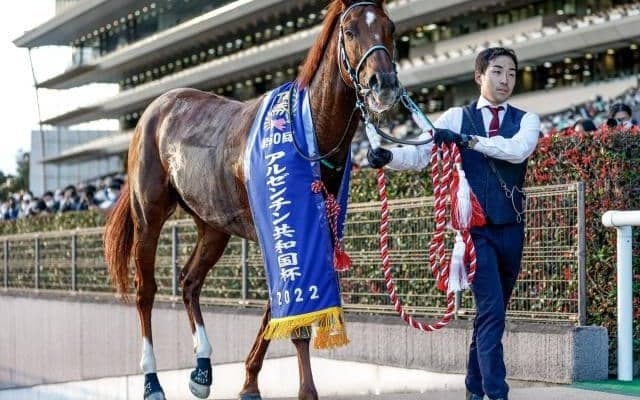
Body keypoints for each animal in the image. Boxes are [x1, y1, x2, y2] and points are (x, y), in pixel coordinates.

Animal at [103, 1, 399, 399]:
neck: (308, 134)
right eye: (350, 31)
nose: (384, 84)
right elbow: (292, 317)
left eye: (390, 27)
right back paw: (151, 381)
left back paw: (202, 369)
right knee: (145, 291)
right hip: (148, 214)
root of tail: (156, 107)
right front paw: (305, 391)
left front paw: (249, 381)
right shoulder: (281, 225)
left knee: (189, 281)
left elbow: (280, 306)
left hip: (213, 224)